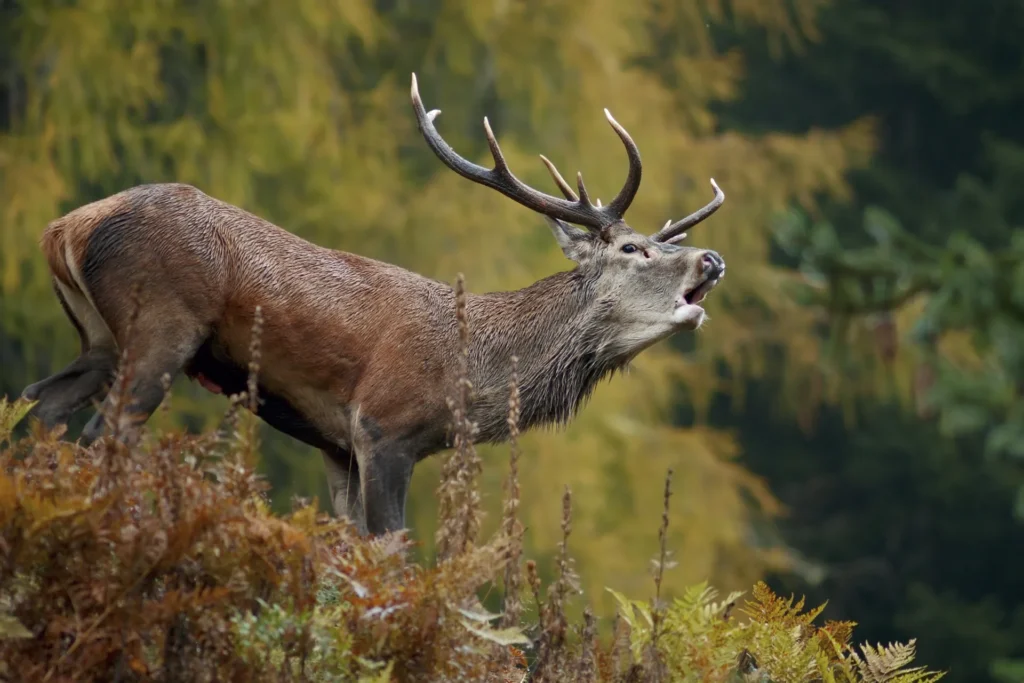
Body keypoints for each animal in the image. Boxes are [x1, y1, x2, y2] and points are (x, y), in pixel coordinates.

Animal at [18, 73, 726, 537]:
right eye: (634, 248)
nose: (712, 260)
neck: (471, 376)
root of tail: (66, 227)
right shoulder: (383, 426)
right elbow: (393, 549)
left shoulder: (337, 445)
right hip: (162, 324)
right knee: (103, 431)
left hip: (99, 339)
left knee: (40, 402)